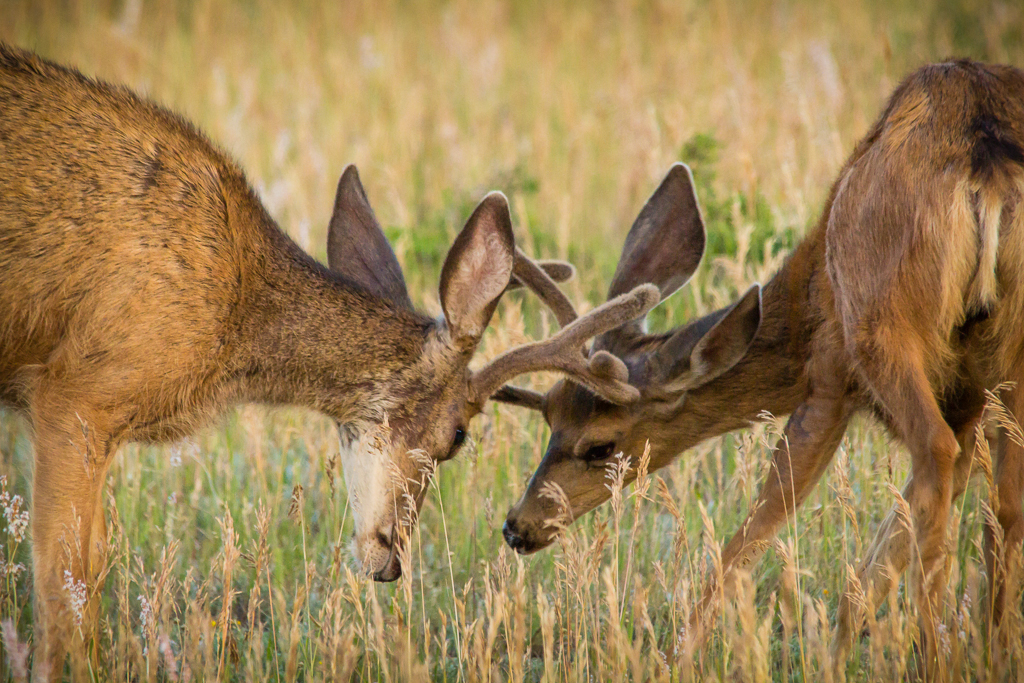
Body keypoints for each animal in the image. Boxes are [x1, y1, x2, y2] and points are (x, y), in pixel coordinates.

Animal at [0, 45, 655, 679]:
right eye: (458, 436)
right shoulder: (76, 398)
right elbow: (66, 593)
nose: (391, 561)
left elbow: (92, 578)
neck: (237, 309)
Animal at [499, 60, 1024, 679]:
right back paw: (994, 652)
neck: (807, 295)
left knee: (935, 455)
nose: (518, 526)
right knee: (1000, 499)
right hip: (1006, 355)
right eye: (549, 419)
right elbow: (876, 562)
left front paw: (679, 658)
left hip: (881, 324)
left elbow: (757, 531)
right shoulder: (968, 401)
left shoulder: (829, 376)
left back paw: (936, 659)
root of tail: (985, 170)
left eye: (600, 446)